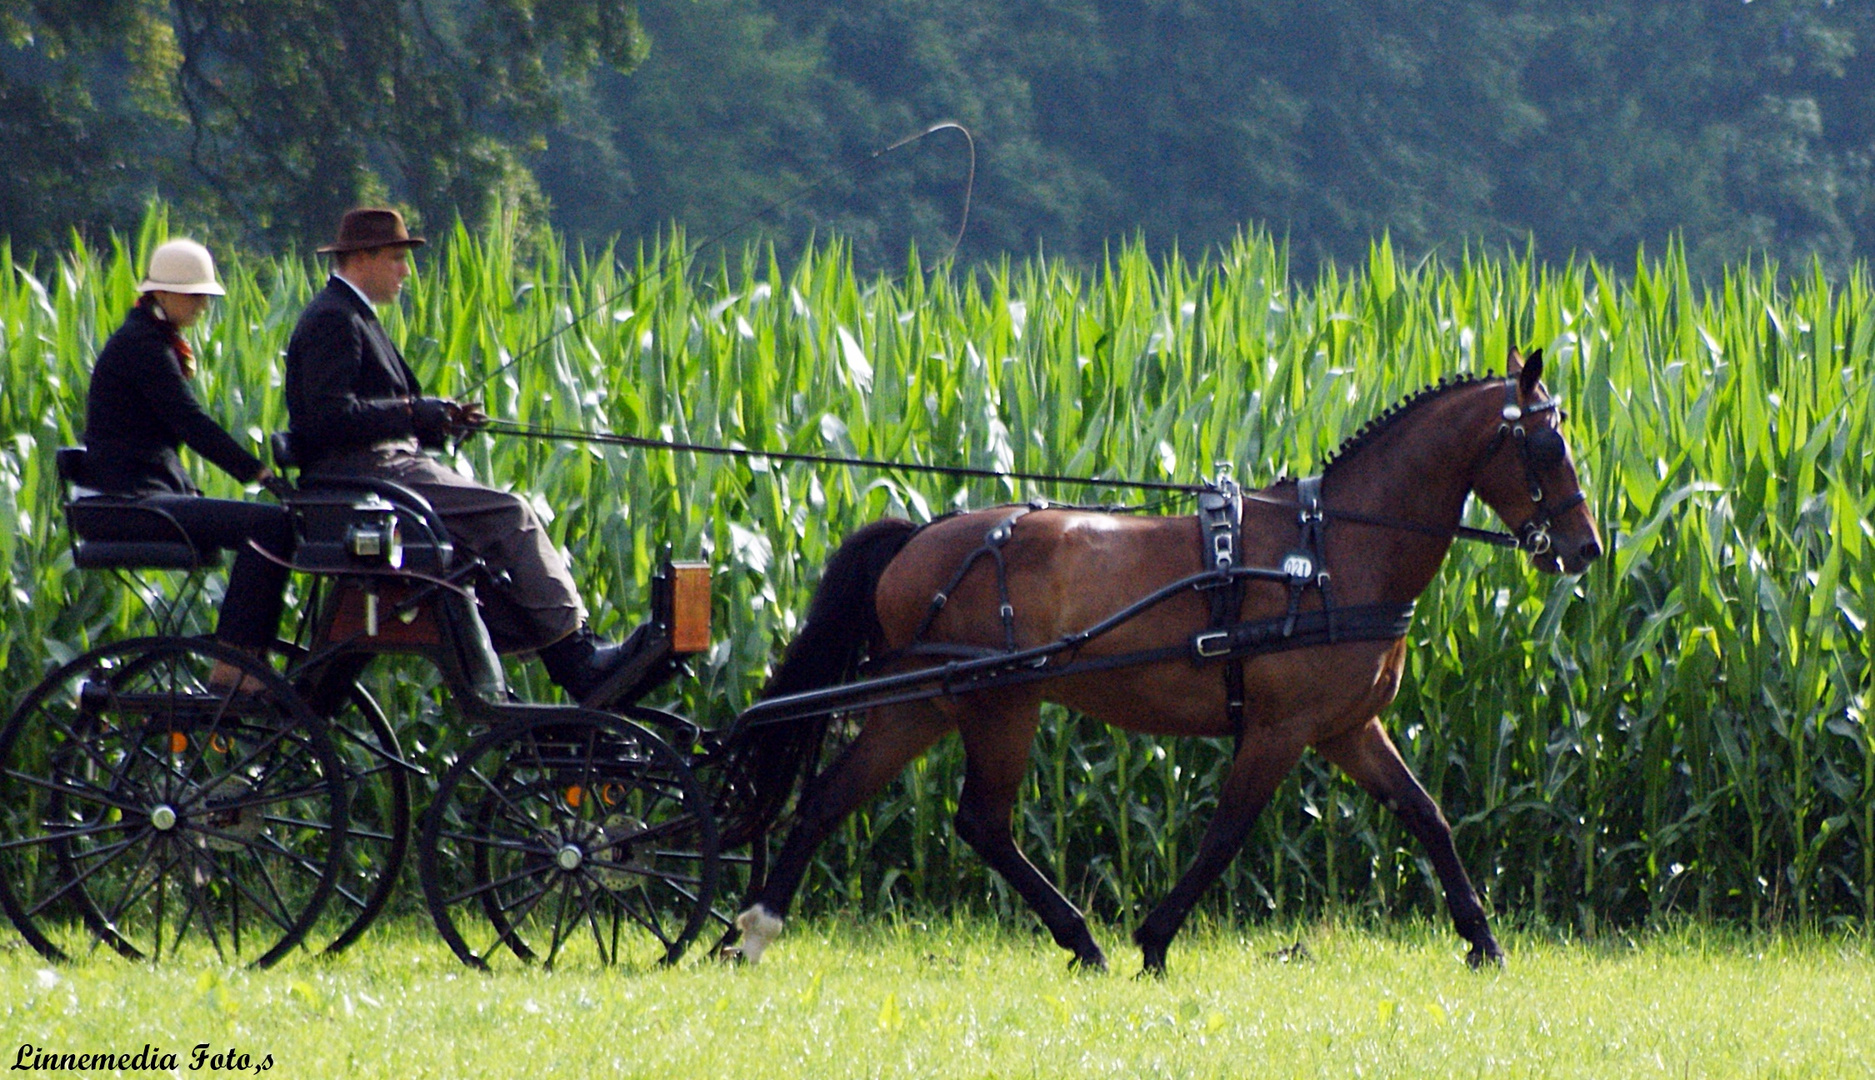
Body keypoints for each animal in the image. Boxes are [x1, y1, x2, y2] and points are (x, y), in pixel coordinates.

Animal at [716, 350, 1597, 975]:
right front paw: (1154, 939)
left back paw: (751, 930)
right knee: (979, 821)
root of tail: (918, 536)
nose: (1585, 548)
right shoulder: (1280, 730)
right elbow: (1225, 834)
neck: (1331, 552)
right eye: (1546, 443)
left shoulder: (1348, 728)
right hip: (998, 704)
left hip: (923, 703)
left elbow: (1426, 815)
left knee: (834, 799)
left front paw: (1483, 941)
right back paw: (1082, 940)